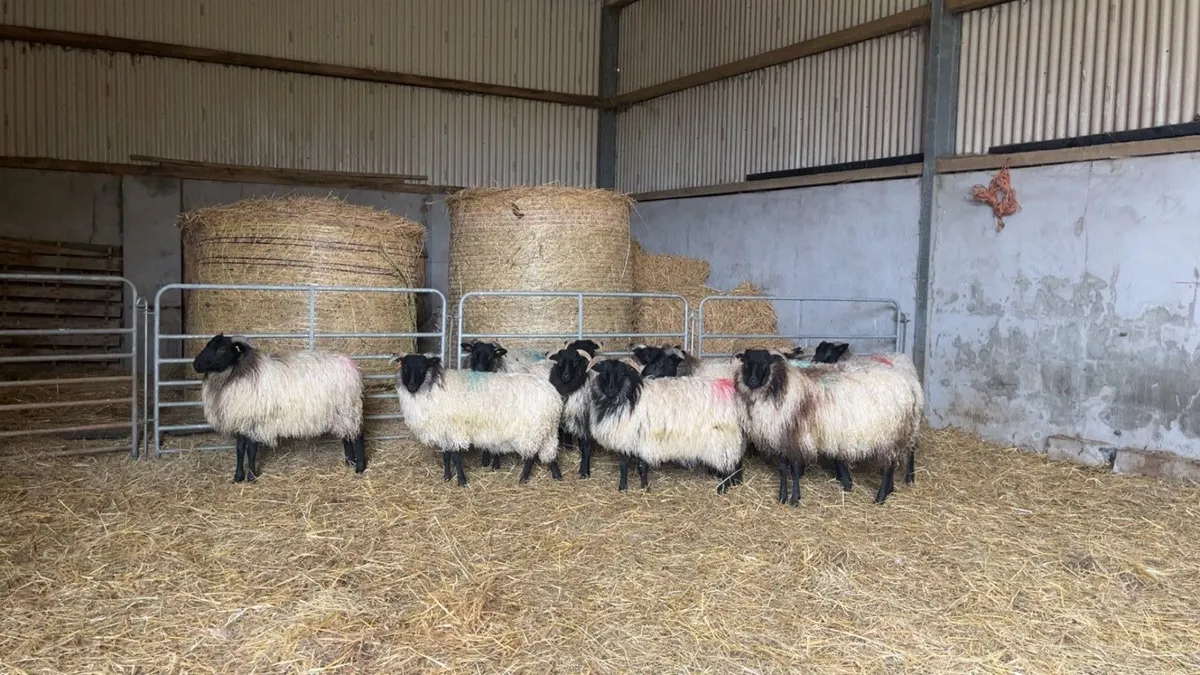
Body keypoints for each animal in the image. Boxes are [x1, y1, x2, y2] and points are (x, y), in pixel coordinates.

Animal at [191, 333, 365, 483]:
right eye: (207, 345)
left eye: (221, 350)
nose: (196, 364)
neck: (234, 374)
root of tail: (350, 365)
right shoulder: (241, 418)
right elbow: (239, 449)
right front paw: (238, 477)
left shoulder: (255, 420)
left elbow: (251, 450)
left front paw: (251, 477)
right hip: (340, 413)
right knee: (346, 437)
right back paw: (349, 463)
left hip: (348, 407)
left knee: (358, 436)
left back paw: (360, 468)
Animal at [392, 353, 564, 485]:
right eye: (405, 366)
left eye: (423, 367)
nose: (411, 386)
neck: (432, 388)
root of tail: (554, 397)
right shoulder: (444, 432)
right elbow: (446, 456)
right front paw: (447, 477)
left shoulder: (454, 430)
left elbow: (456, 457)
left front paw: (461, 481)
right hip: (546, 431)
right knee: (549, 453)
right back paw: (556, 475)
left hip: (532, 431)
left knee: (531, 456)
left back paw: (523, 478)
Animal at [588, 359, 746, 493]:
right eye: (603, 372)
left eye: (621, 373)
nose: (611, 390)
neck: (628, 396)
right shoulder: (631, 439)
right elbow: (625, 465)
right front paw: (624, 488)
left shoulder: (639, 438)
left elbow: (641, 466)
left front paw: (644, 488)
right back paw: (734, 483)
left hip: (722, 436)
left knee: (729, 464)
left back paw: (722, 489)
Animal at [734, 348, 921, 505]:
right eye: (746, 363)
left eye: (765, 364)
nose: (752, 380)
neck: (780, 386)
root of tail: (908, 386)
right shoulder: (783, 437)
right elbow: (783, 468)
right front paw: (782, 497)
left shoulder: (796, 435)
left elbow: (794, 468)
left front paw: (794, 499)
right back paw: (890, 490)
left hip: (891, 433)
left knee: (889, 466)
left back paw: (881, 497)